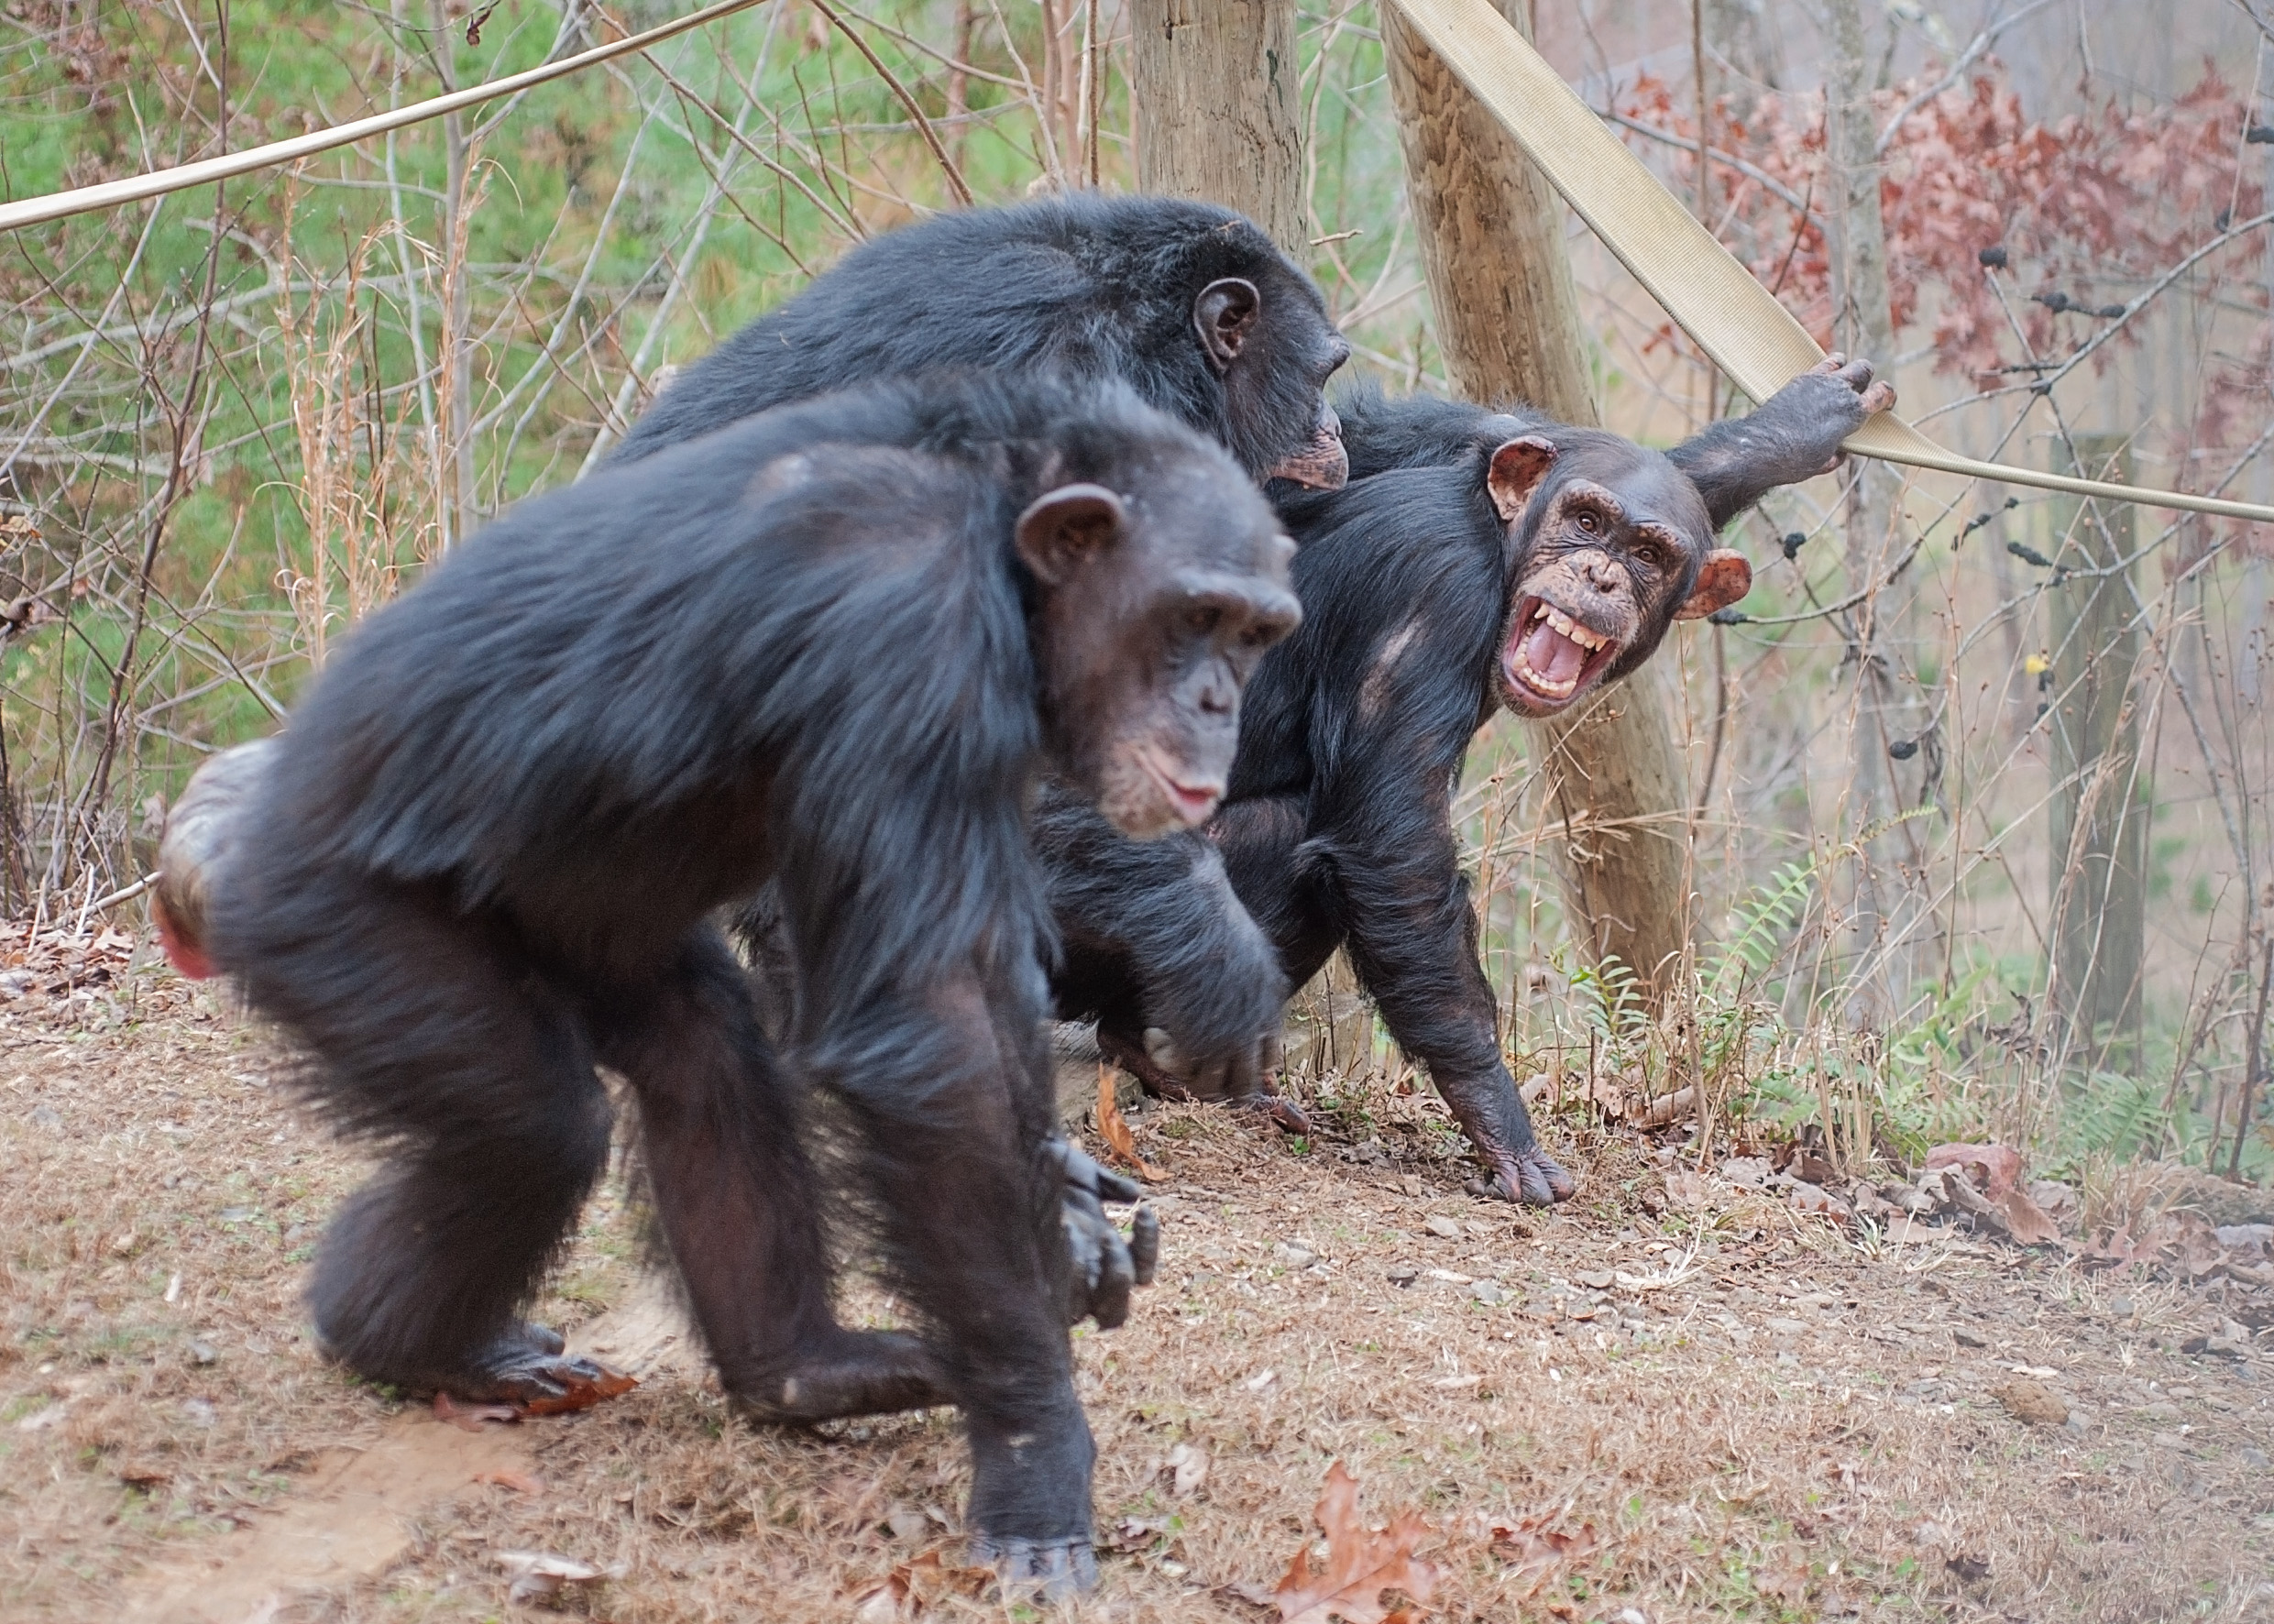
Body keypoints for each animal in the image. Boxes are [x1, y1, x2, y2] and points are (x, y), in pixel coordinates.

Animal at [204, 370, 1310, 1583]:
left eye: (1256, 633)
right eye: (1192, 616)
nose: (1219, 701)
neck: (997, 534)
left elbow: (977, 989)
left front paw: (1064, 1215)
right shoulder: (904, 635)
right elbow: (927, 1030)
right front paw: (1034, 1446)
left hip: (595, 935)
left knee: (704, 1056)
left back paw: (806, 1368)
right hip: (330, 922)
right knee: (531, 1126)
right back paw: (397, 1340)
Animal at [1041, 357, 1892, 1201]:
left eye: (1648, 556)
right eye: (1587, 522)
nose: (1599, 574)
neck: (1497, 539)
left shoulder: (1456, 440)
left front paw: (1788, 429)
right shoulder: (1432, 593)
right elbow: (1394, 850)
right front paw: (1499, 1116)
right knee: (1282, 835)